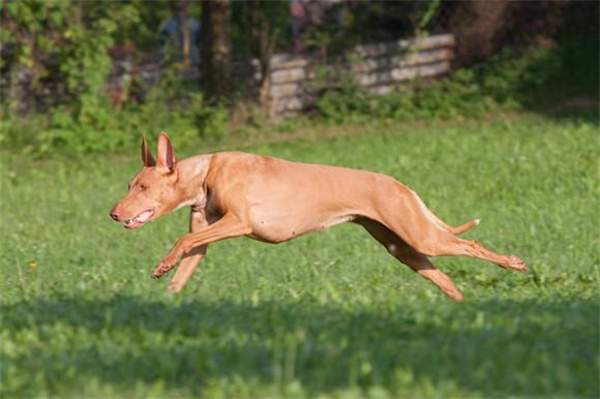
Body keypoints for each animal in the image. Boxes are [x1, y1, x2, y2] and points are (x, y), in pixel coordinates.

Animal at [110, 133, 528, 302]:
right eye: (130, 184)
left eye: (142, 187)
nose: (113, 214)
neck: (206, 173)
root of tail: (399, 184)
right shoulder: (204, 240)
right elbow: (185, 263)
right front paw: (166, 294)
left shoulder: (240, 222)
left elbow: (182, 241)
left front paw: (161, 265)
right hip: (403, 248)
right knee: (445, 281)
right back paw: (462, 304)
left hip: (423, 237)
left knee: (470, 244)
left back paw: (514, 264)